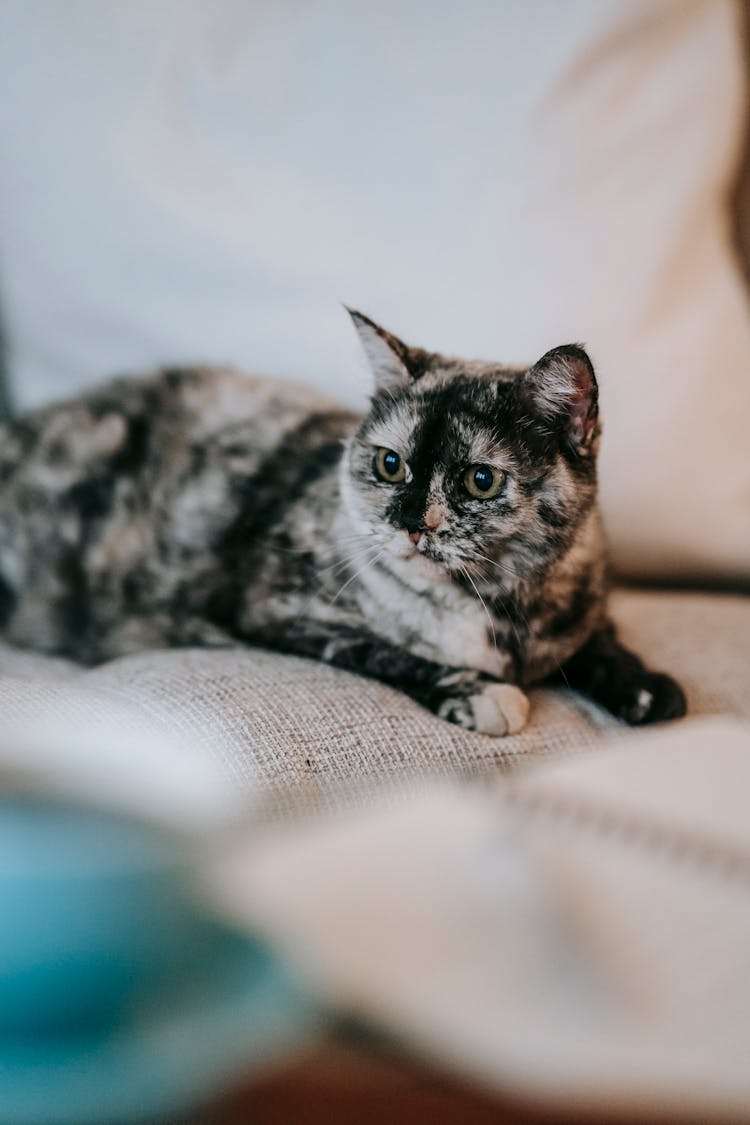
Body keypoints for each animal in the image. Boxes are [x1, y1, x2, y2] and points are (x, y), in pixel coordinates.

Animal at [0, 310, 688, 738]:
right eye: (390, 464)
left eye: (479, 480)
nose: (411, 523)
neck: (495, 609)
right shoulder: (279, 611)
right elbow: (389, 651)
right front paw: (477, 693)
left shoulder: (581, 590)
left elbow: (595, 637)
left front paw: (646, 687)